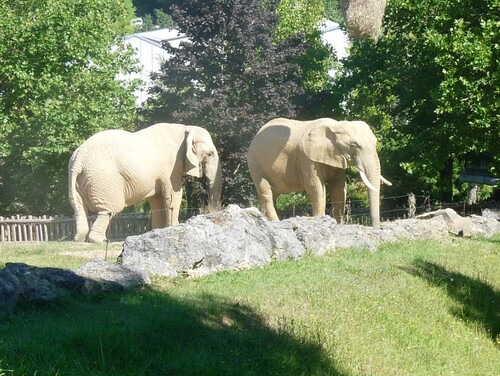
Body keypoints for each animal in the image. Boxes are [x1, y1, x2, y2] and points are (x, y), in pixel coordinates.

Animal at [69, 122, 223, 242]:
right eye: (209, 154)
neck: (186, 128)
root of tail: (78, 159)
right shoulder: (172, 166)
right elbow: (173, 195)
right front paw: (174, 228)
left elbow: (157, 200)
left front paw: (157, 232)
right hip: (104, 178)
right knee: (111, 209)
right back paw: (100, 240)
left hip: (80, 180)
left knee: (80, 209)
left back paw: (80, 239)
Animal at [248, 117, 392, 228]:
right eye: (355, 145)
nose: (377, 228)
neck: (336, 125)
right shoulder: (307, 158)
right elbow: (315, 186)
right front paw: (322, 220)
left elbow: (339, 187)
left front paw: (338, 225)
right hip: (255, 164)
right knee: (266, 192)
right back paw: (275, 222)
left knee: (272, 194)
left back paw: (263, 220)